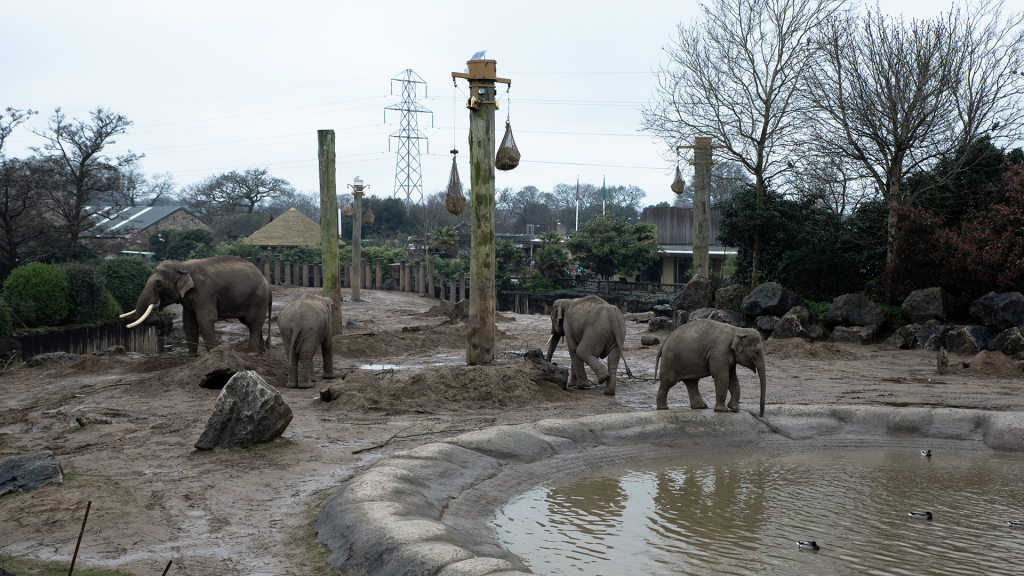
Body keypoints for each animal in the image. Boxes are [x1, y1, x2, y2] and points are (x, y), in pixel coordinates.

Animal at [122, 254, 274, 352]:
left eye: (159, 284)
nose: (158, 318)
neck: (183, 266)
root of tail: (267, 282)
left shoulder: (205, 292)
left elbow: (205, 319)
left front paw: (215, 355)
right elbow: (189, 321)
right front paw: (191, 359)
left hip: (258, 298)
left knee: (253, 322)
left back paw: (252, 354)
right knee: (251, 323)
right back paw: (261, 354)